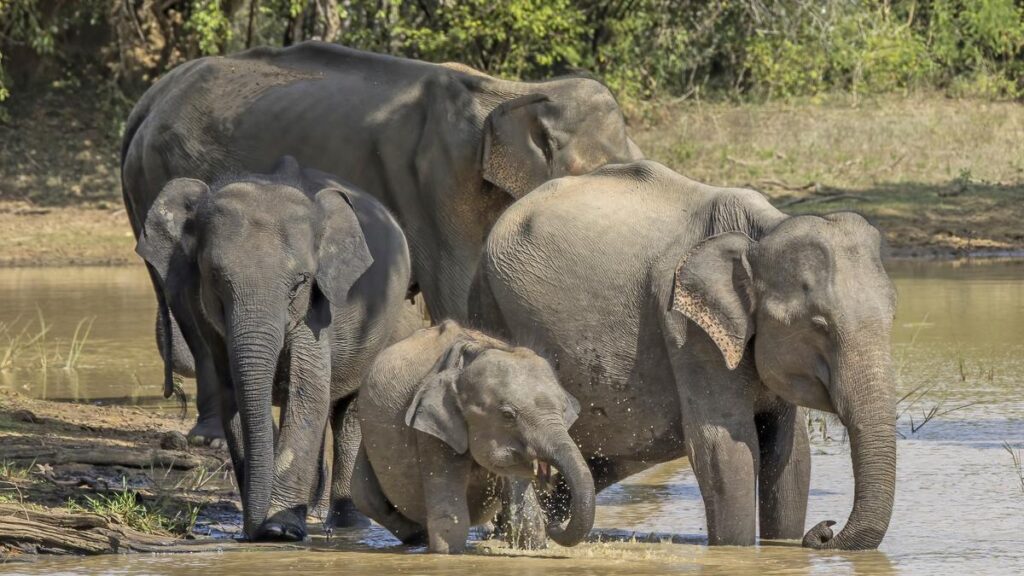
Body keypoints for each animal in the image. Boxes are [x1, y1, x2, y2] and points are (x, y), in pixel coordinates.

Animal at [119, 42, 638, 440]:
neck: (513, 90)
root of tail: (149, 100)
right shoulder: (437, 183)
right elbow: (455, 293)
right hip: (158, 176)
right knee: (185, 301)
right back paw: (208, 435)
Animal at [134, 154, 409, 537]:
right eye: (214, 278)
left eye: (300, 282)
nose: (252, 529)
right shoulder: (206, 315)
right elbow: (233, 393)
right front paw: (265, 527)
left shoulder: (318, 311)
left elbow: (306, 392)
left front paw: (280, 529)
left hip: (386, 323)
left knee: (348, 412)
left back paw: (346, 525)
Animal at [354, 319, 598, 549]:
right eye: (508, 415)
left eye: (564, 410)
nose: (555, 523)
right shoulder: (433, 432)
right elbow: (451, 519)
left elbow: (524, 516)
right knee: (367, 499)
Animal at [471, 157, 897, 545]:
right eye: (819, 325)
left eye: (893, 315)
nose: (824, 530)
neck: (763, 231)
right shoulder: (684, 328)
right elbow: (724, 450)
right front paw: (738, 551)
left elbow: (790, 455)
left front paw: (784, 546)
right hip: (490, 302)